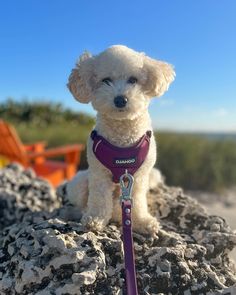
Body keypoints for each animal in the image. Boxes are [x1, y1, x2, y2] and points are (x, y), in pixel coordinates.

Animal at [62, 45, 175, 237]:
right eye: (106, 80)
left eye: (133, 80)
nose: (120, 99)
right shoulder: (99, 174)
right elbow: (99, 199)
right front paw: (95, 220)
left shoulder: (139, 177)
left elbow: (137, 201)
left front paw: (142, 222)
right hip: (80, 183)